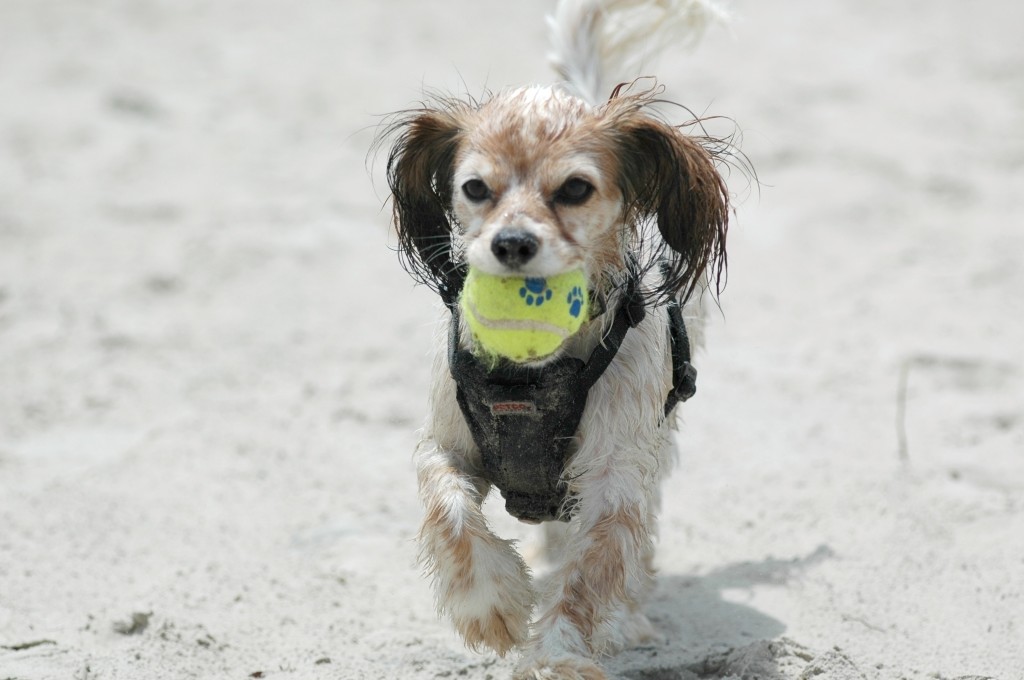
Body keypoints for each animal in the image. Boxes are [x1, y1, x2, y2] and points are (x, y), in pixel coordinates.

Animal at [376, 1, 737, 680]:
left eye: (574, 189)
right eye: (475, 188)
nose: (512, 243)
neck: (533, 373)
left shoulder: (615, 476)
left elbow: (590, 574)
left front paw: (559, 653)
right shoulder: (447, 446)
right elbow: (451, 512)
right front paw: (491, 608)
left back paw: (627, 619)